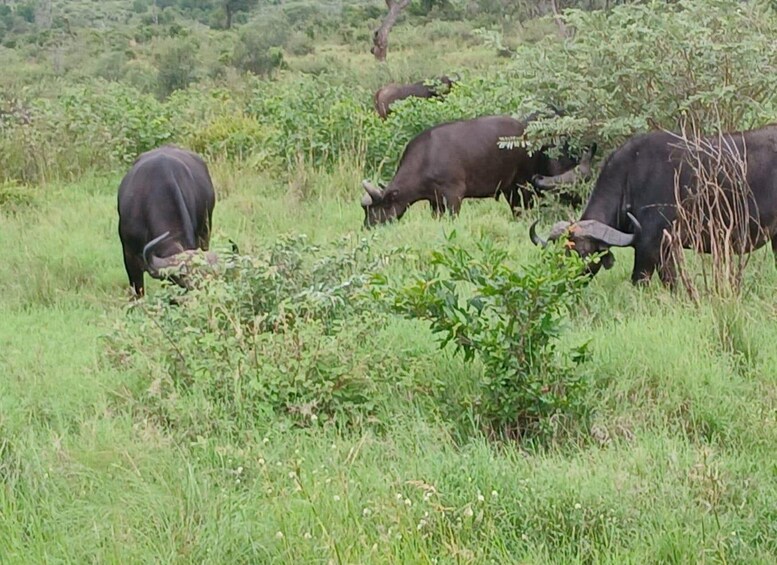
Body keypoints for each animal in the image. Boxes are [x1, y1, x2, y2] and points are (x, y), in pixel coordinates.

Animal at [360, 114, 594, 228]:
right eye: (367, 210)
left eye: (375, 210)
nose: (367, 227)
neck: (426, 157)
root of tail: (530, 135)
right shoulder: (435, 201)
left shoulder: (453, 195)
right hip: (509, 187)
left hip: (523, 182)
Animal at [529, 124, 777, 285]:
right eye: (559, 254)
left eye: (582, 253)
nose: (564, 281)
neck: (630, 179)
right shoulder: (667, 249)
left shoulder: (649, 246)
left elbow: (640, 280)